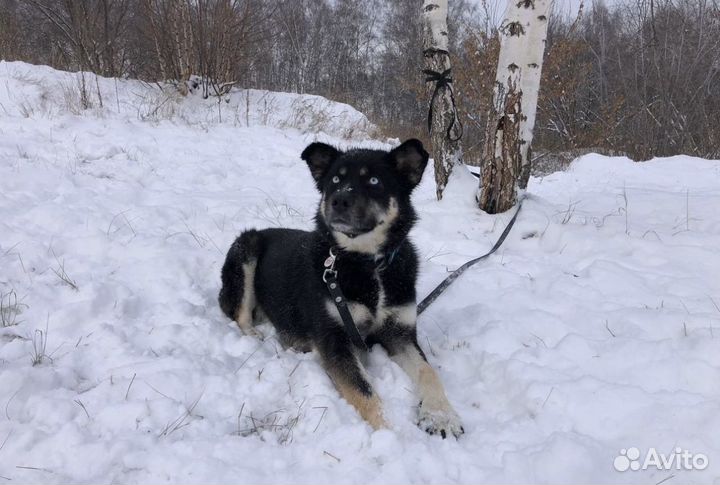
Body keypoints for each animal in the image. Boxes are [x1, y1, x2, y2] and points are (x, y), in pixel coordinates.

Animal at [219, 138, 464, 436]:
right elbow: (364, 390)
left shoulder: (400, 333)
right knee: (240, 314)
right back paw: (256, 336)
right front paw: (390, 433)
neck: (367, 263)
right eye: (336, 179)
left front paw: (441, 416)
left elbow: (429, 372)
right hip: (246, 248)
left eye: (374, 180)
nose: (339, 200)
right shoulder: (334, 339)